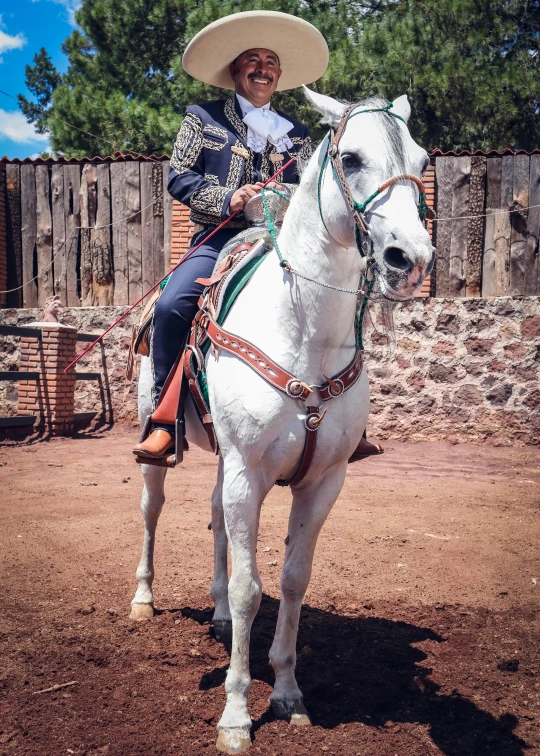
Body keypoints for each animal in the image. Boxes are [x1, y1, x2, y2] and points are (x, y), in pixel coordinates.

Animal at [131, 87, 434, 752]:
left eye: (423, 160)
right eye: (350, 158)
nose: (410, 258)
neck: (304, 332)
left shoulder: (322, 482)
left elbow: (293, 579)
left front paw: (290, 693)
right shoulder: (250, 473)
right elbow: (253, 588)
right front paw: (236, 714)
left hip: (227, 461)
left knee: (218, 519)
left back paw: (217, 614)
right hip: (159, 446)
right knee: (152, 509)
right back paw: (142, 597)